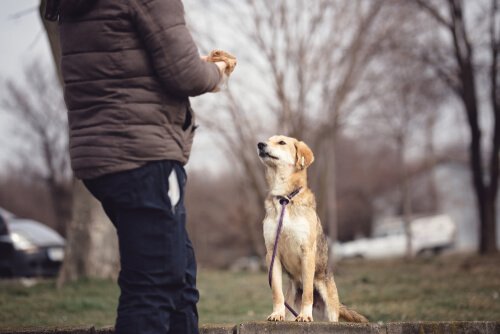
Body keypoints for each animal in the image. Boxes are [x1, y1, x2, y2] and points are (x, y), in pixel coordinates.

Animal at [258, 134, 368, 322]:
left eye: (281, 142)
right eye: (268, 139)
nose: (260, 144)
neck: (285, 198)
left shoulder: (307, 251)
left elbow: (308, 292)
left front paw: (305, 315)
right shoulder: (272, 254)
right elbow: (277, 293)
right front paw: (276, 314)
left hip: (330, 309)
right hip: (291, 304)